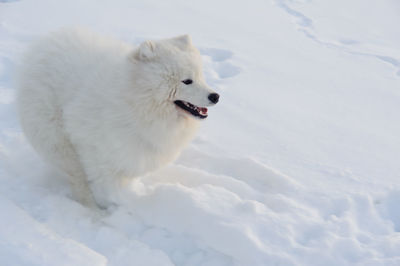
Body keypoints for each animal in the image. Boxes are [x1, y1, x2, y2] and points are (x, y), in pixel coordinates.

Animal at [17, 29, 219, 207]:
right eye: (187, 81)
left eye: (201, 76)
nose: (215, 96)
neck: (136, 101)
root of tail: (44, 43)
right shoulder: (93, 149)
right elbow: (104, 183)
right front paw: (113, 204)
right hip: (57, 141)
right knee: (75, 175)